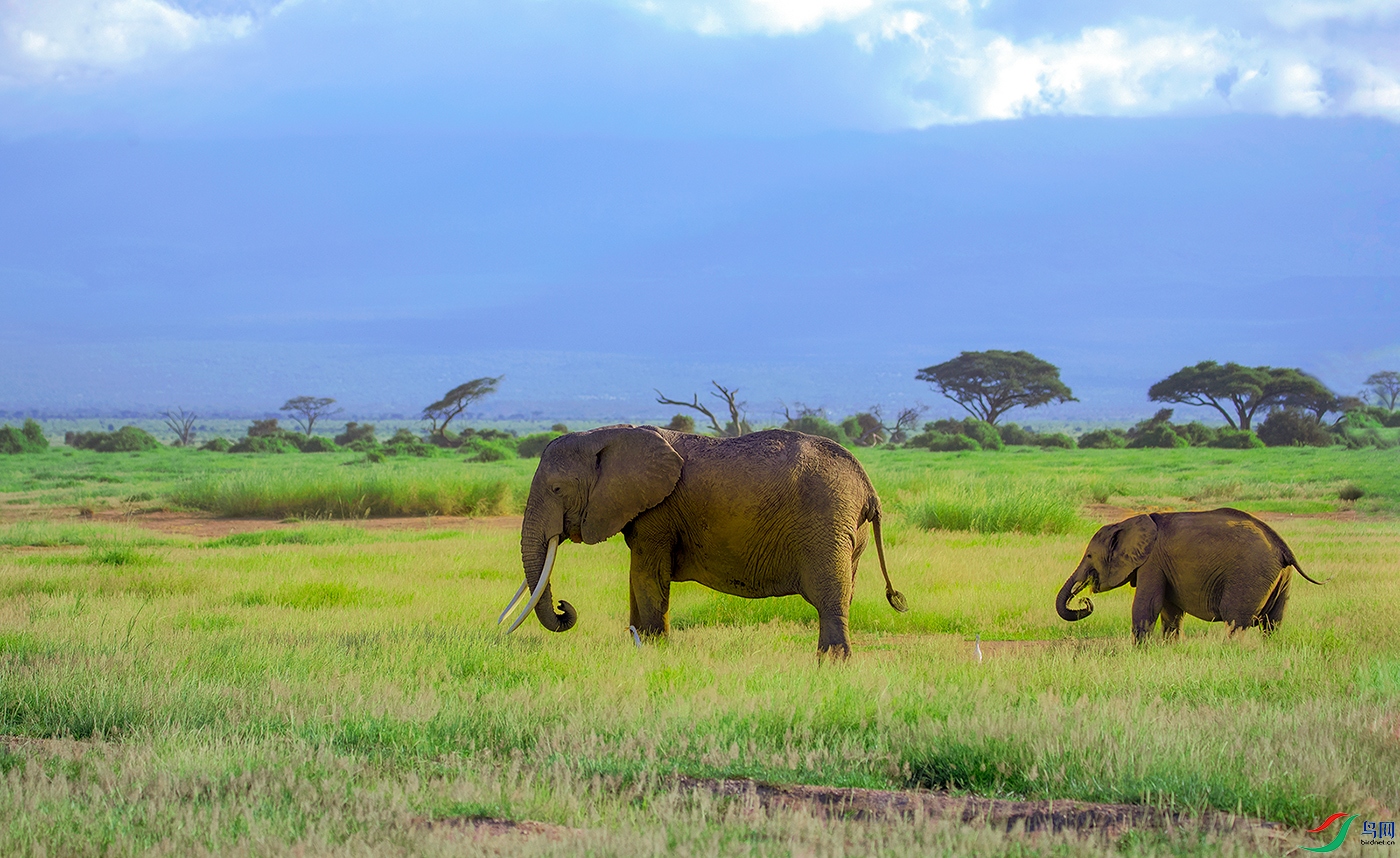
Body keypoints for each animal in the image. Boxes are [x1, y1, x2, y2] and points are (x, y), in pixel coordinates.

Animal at [495, 425, 907, 655]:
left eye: (557, 489)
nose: (564, 606)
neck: (605, 434)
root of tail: (868, 487)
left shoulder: (658, 513)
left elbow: (647, 577)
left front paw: (652, 648)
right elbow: (637, 579)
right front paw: (639, 645)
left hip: (826, 521)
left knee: (830, 596)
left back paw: (831, 662)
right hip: (847, 531)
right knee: (844, 591)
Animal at [1052, 503, 1316, 638]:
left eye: (1089, 556)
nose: (1086, 601)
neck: (1127, 523)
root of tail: (1283, 547)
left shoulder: (1153, 562)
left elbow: (1147, 606)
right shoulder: (1164, 567)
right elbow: (1171, 612)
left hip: (1250, 575)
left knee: (1235, 621)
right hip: (1281, 577)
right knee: (1273, 623)